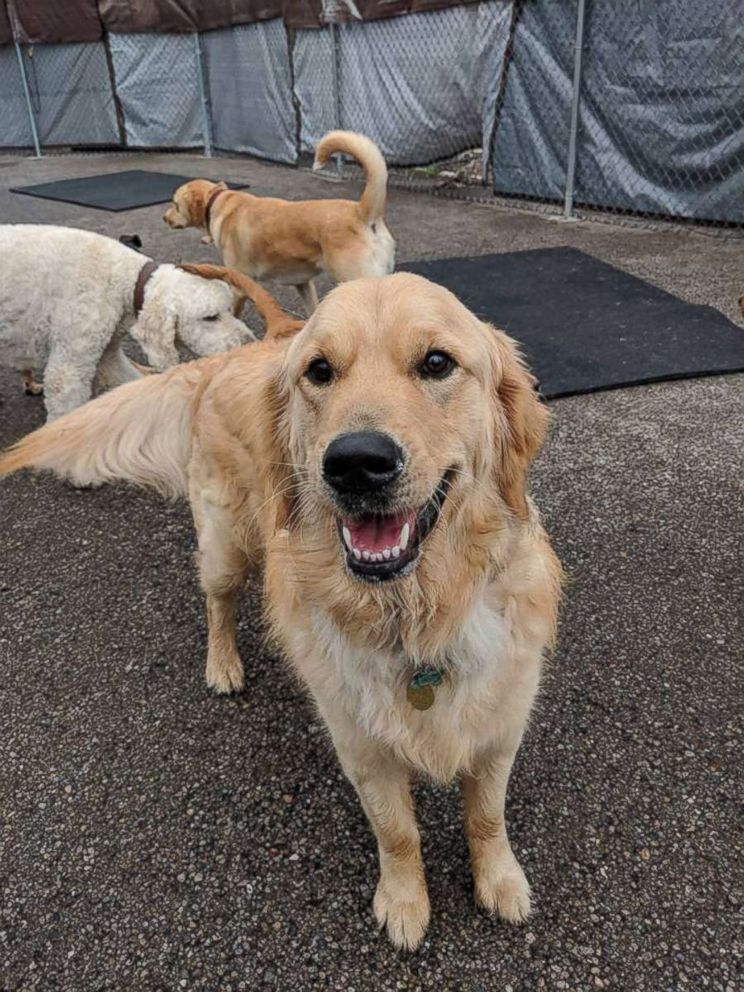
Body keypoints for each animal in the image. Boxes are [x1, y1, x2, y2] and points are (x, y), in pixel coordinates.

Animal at [0, 224, 251, 418]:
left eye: (230, 310)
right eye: (210, 317)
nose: (249, 343)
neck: (122, 278)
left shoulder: (108, 355)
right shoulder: (68, 369)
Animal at [0, 274, 560, 952]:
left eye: (436, 363)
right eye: (319, 371)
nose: (356, 463)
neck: (414, 613)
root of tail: (236, 353)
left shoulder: (500, 725)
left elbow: (486, 816)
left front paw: (499, 880)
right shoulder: (359, 745)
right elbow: (397, 831)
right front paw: (405, 901)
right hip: (225, 544)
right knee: (217, 601)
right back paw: (223, 665)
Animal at [163, 130, 396, 312]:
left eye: (174, 204)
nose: (164, 217)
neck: (218, 201)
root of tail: (362, 212)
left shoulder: (239, 286)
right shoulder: (303, 283)